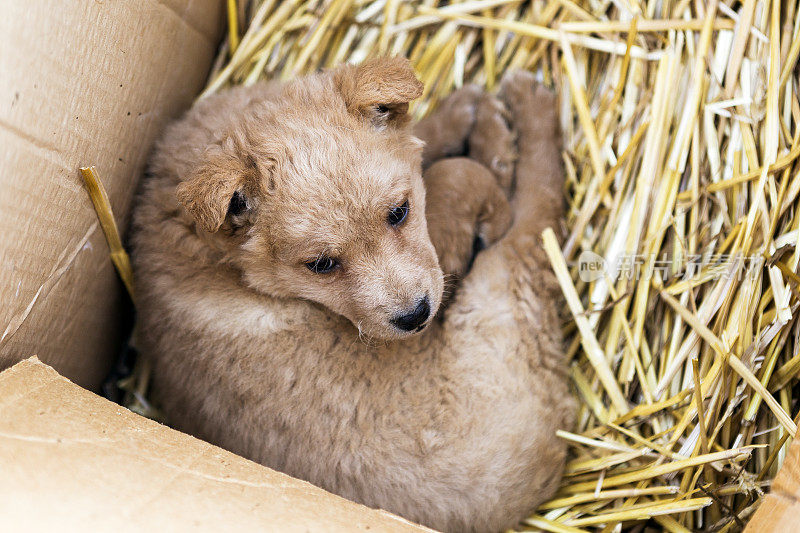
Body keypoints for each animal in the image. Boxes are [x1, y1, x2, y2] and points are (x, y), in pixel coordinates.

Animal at [134, 56, 580, 528]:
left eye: (399, 212)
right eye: (321, 264)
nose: (415, 317)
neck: (213, 258)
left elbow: (416, 140)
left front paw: (463, 108)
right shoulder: (442, 261)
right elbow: (456, 175)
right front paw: (492, 143)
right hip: (502, 294)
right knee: (538, 213)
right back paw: (529, 106)